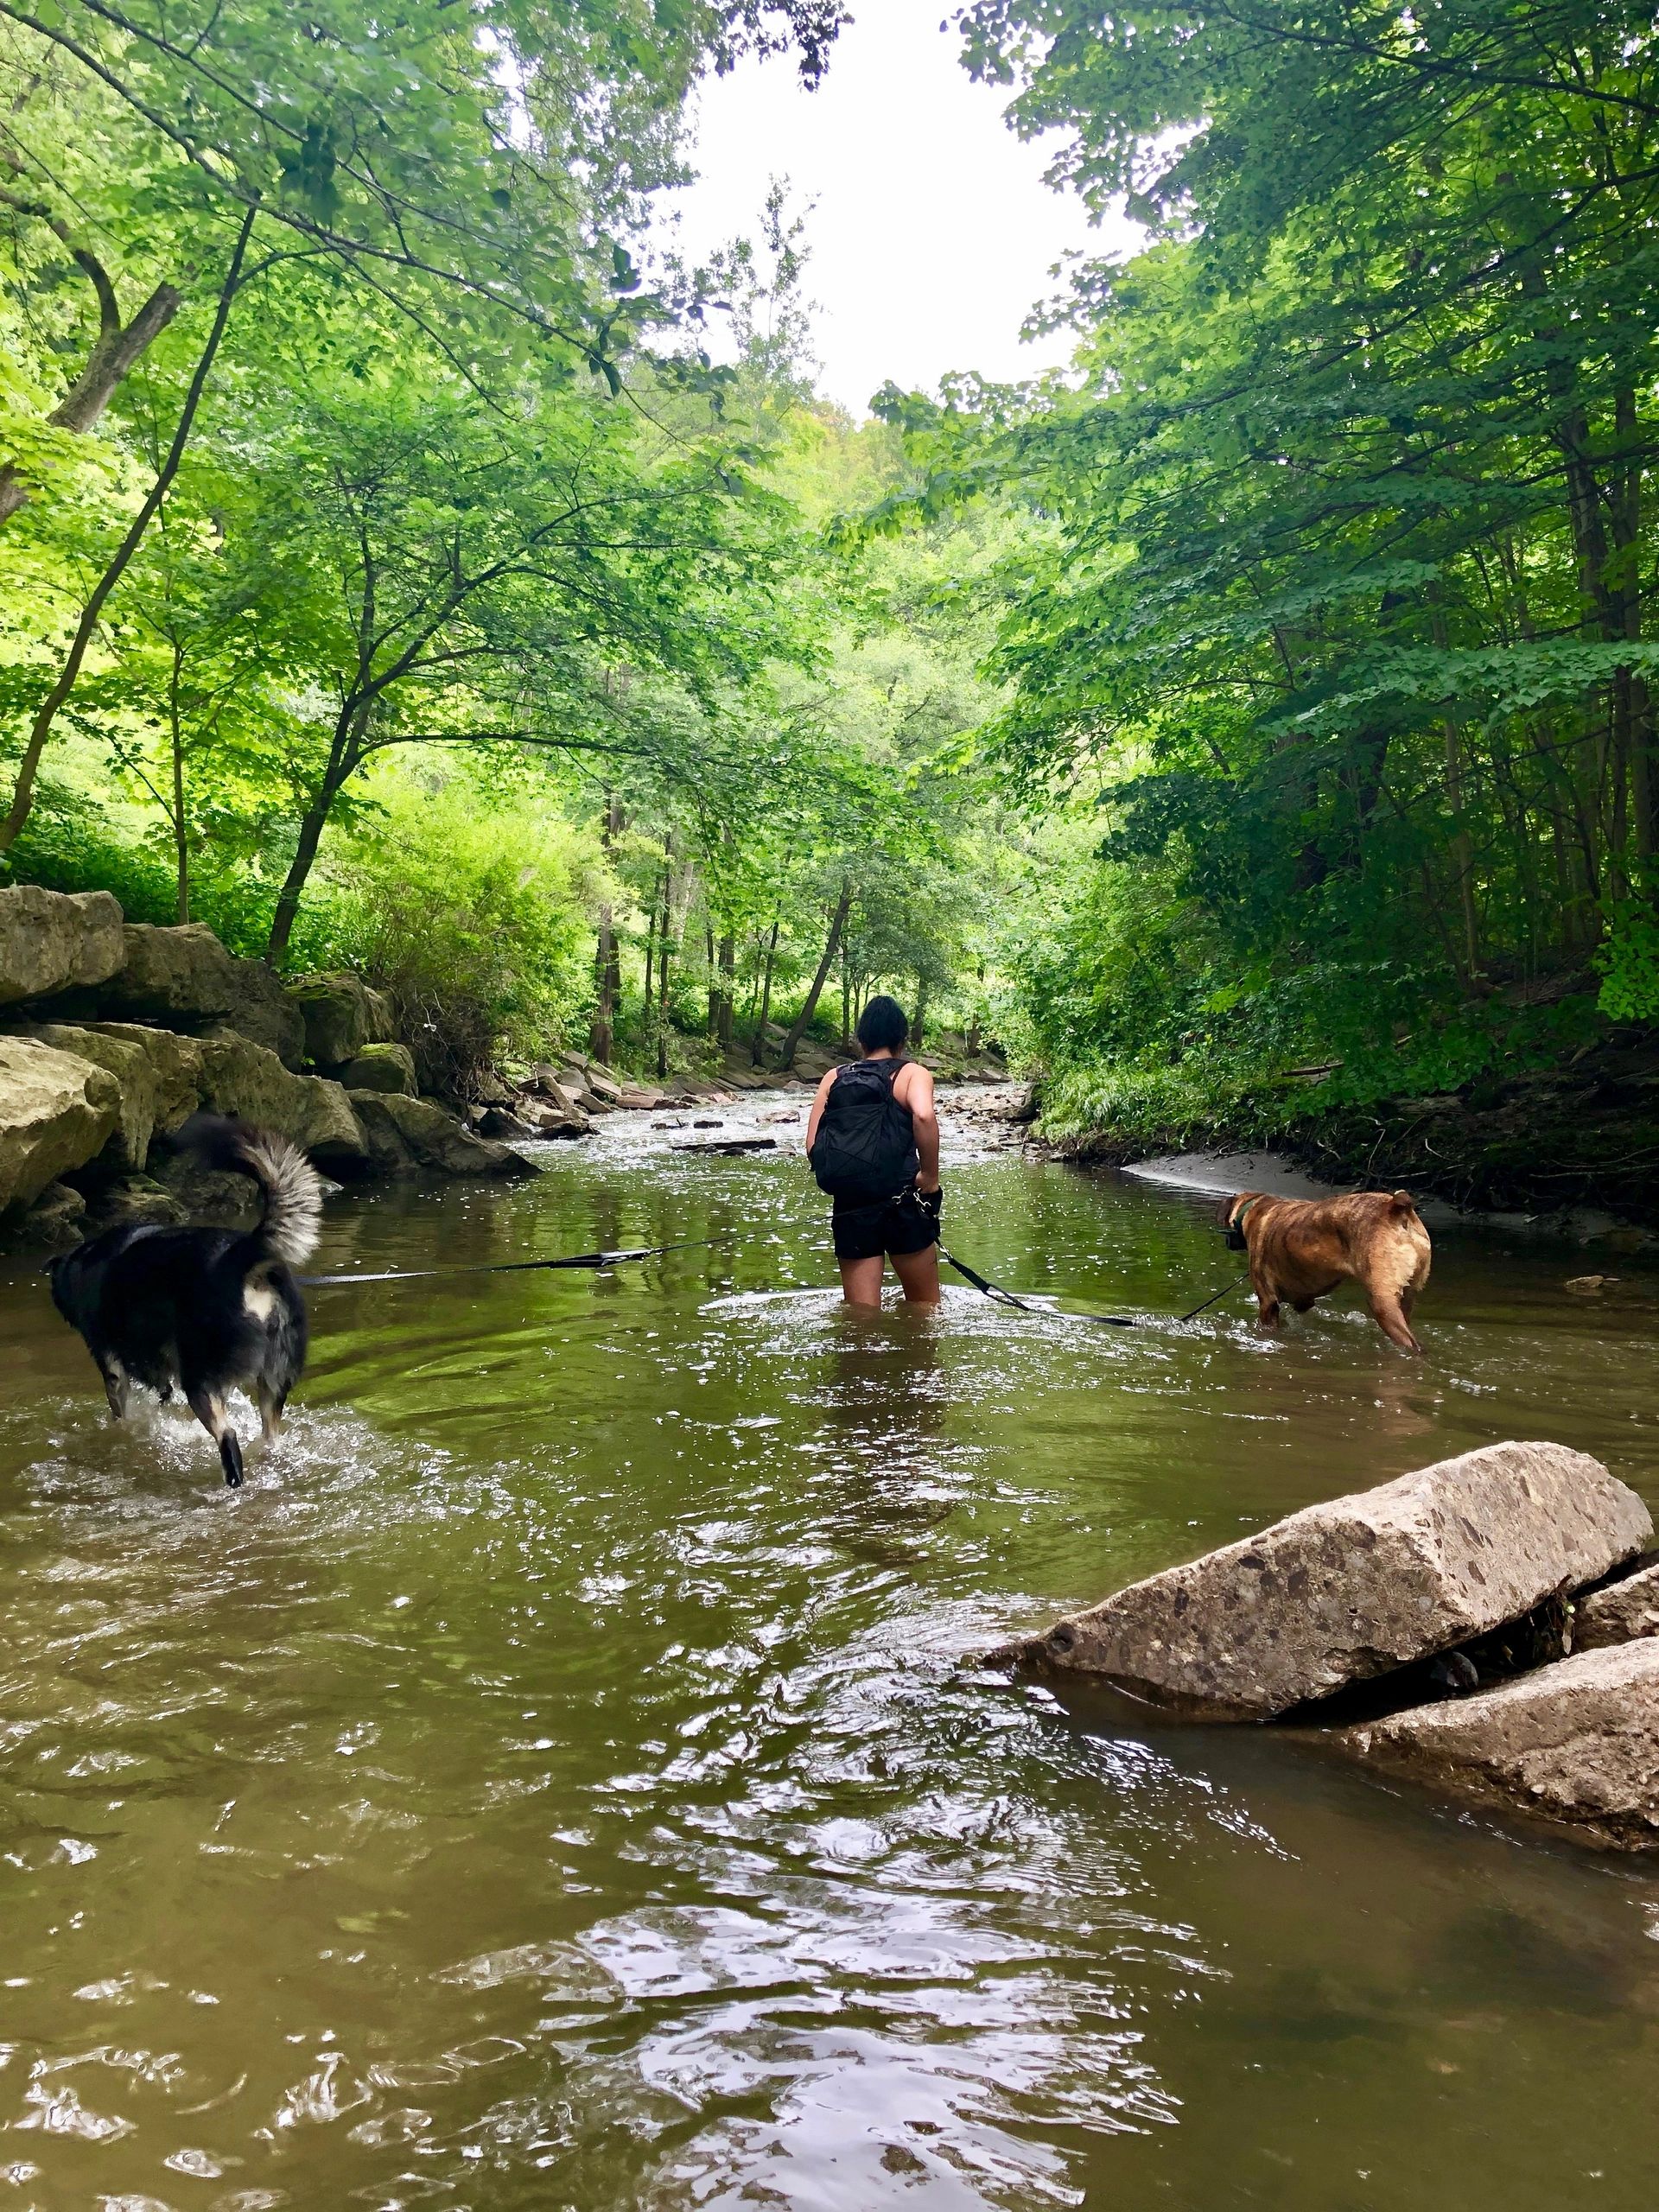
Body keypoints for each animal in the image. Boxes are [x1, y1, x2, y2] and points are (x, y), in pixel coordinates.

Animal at [45, 1123, 325, 1486]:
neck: (83, 1262)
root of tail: (241, 1257)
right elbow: (162, 1394)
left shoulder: (112, 1365)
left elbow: (121, 1408)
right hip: (273, 1382)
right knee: (269, 1435)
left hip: (200, 1379)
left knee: (228, 1438)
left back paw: (232, 1483)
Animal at [1221, 1194, 1442, 1344]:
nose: (1226, 1243)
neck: (1256, 1207)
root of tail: (1396, 1208)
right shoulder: (1303, 1299)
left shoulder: (1268, 1302)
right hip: (1407, 1298)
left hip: (1383, 1303)